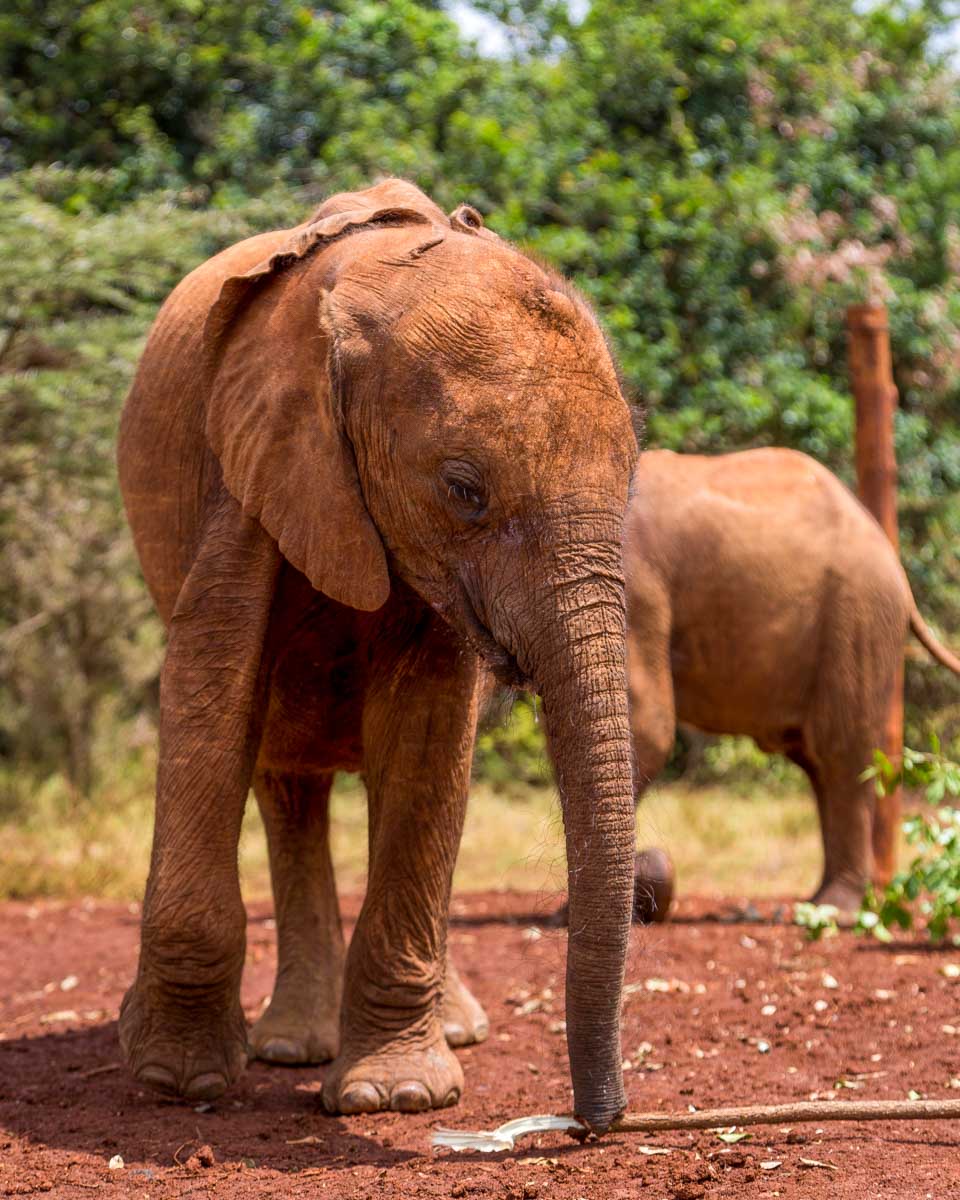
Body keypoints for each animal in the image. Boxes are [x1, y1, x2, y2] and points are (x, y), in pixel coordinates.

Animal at [116, 179, 638, 1130]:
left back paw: (450, 1030)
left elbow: (428, 729)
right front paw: (177, 1081)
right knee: (284, 782)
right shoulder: (256, 461)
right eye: (464, 490)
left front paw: (395, 1097)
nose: (595, 1122)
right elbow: (209, 687)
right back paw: (290, 1046)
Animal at [625, 447, 960, 916]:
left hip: (857, 617)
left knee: (841, 753)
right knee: (819, 763)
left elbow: (645, 729)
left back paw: (835, 910)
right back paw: (817, 904)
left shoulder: (635, 583)